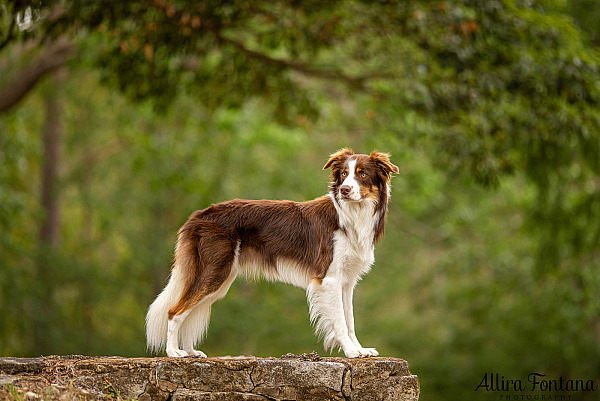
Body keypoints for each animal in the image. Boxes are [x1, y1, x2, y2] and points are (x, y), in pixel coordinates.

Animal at [145, 147, 398, 356]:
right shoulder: (330, 279)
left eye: (363, 175)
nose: (345, 190)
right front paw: (351, 351)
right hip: (214, 271)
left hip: (220, 277)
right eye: (344, 174)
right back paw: (173, 353)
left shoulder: (346, 282)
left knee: (192, 310)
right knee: (175, 311)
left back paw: (190, 352)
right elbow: (340, 322)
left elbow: (350, 320)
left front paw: (360, 349)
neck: (350, 215)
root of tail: (197, 216)